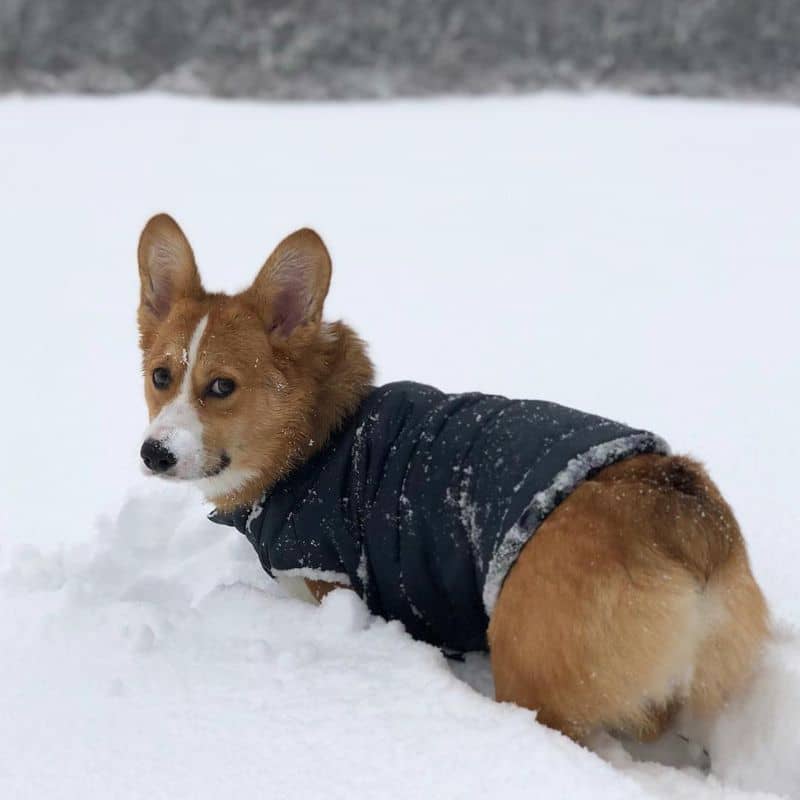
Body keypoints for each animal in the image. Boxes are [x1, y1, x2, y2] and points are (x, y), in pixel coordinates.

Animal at [138, 212, 768, 744]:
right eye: (161, 376)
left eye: (222, 386)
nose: (153, 454)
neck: (313, 437)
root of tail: (686, 519)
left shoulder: (329, 581)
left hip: (532, 669)